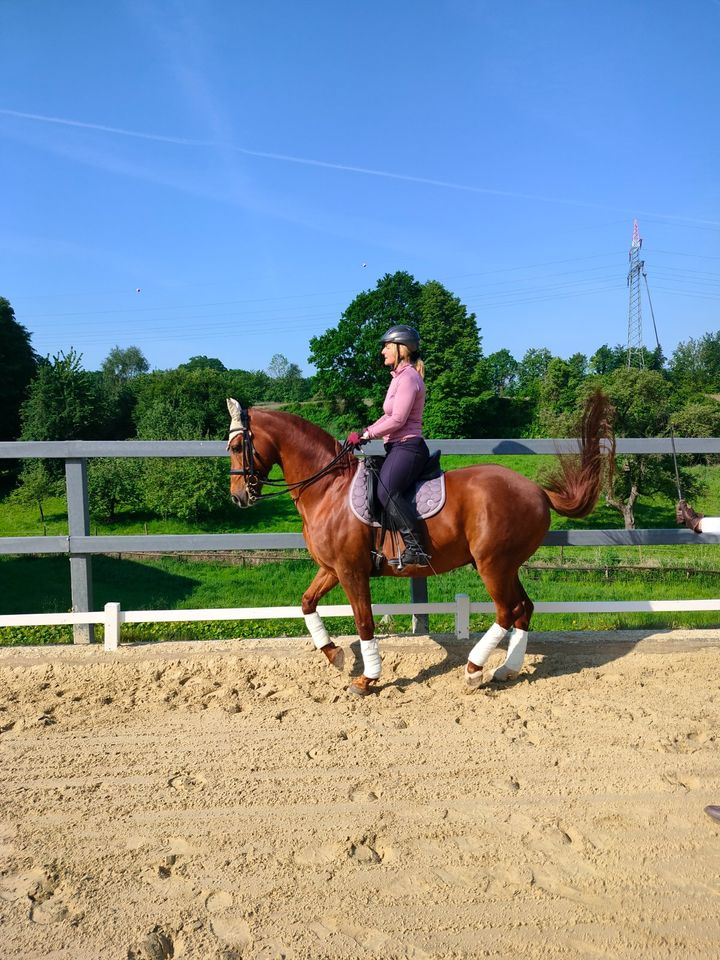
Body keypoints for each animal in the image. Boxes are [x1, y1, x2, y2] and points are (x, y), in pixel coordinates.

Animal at [226, 390, 612, 696]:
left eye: (236, 446)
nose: (238, 497)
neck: (329, 488)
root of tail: (537, 491)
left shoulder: (351, 571)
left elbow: (364, 621)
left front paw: (367, 678)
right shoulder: (332, 568)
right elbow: (307, 603)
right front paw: (335, 654)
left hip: (493, 564)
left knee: (507, 610)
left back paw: (474, 670)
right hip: (507, 565)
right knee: (524, 608)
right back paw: (506, 669)